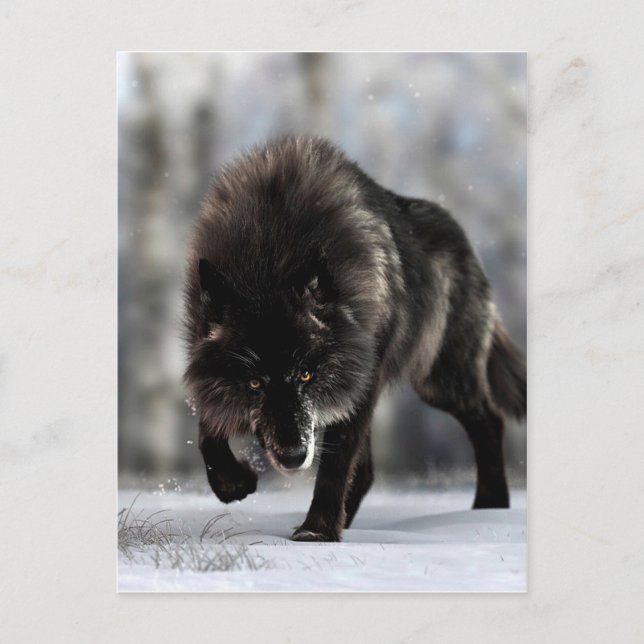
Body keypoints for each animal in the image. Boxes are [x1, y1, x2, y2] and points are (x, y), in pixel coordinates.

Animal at [183, 136, 526, 542]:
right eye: (254, 383)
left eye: (306, 375)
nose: (293, 457)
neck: (269, 252)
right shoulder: (206, 369)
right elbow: (208, 430)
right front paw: (232, 483)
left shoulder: (360, 380)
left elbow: (335, 464)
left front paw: (316, 533)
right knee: (368, 472)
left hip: (439, 380)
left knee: (490, 421)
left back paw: (489, 510)